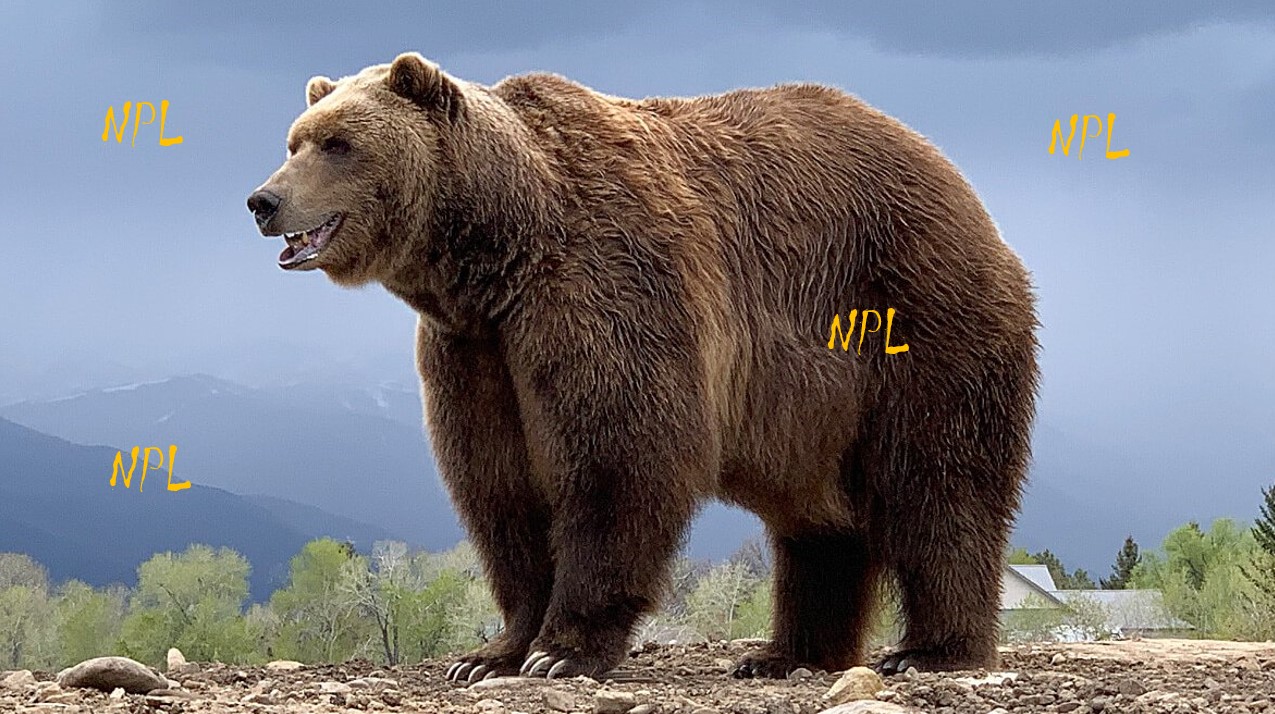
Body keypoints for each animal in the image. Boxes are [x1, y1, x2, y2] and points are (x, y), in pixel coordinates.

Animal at [248, 52, 1039, 682]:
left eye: (339, 143)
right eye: (295, 139)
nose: (264, 200)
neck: (498, 256)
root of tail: (955, 179)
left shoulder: (606, 290)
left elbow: (619, 458)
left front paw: (562, 651)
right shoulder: (475, 351)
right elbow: (498, 485)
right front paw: (491, 653)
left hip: (913, 321)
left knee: (939, 483)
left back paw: (931, 649)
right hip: (814, 412)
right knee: (819, 524)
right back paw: (785, 654)